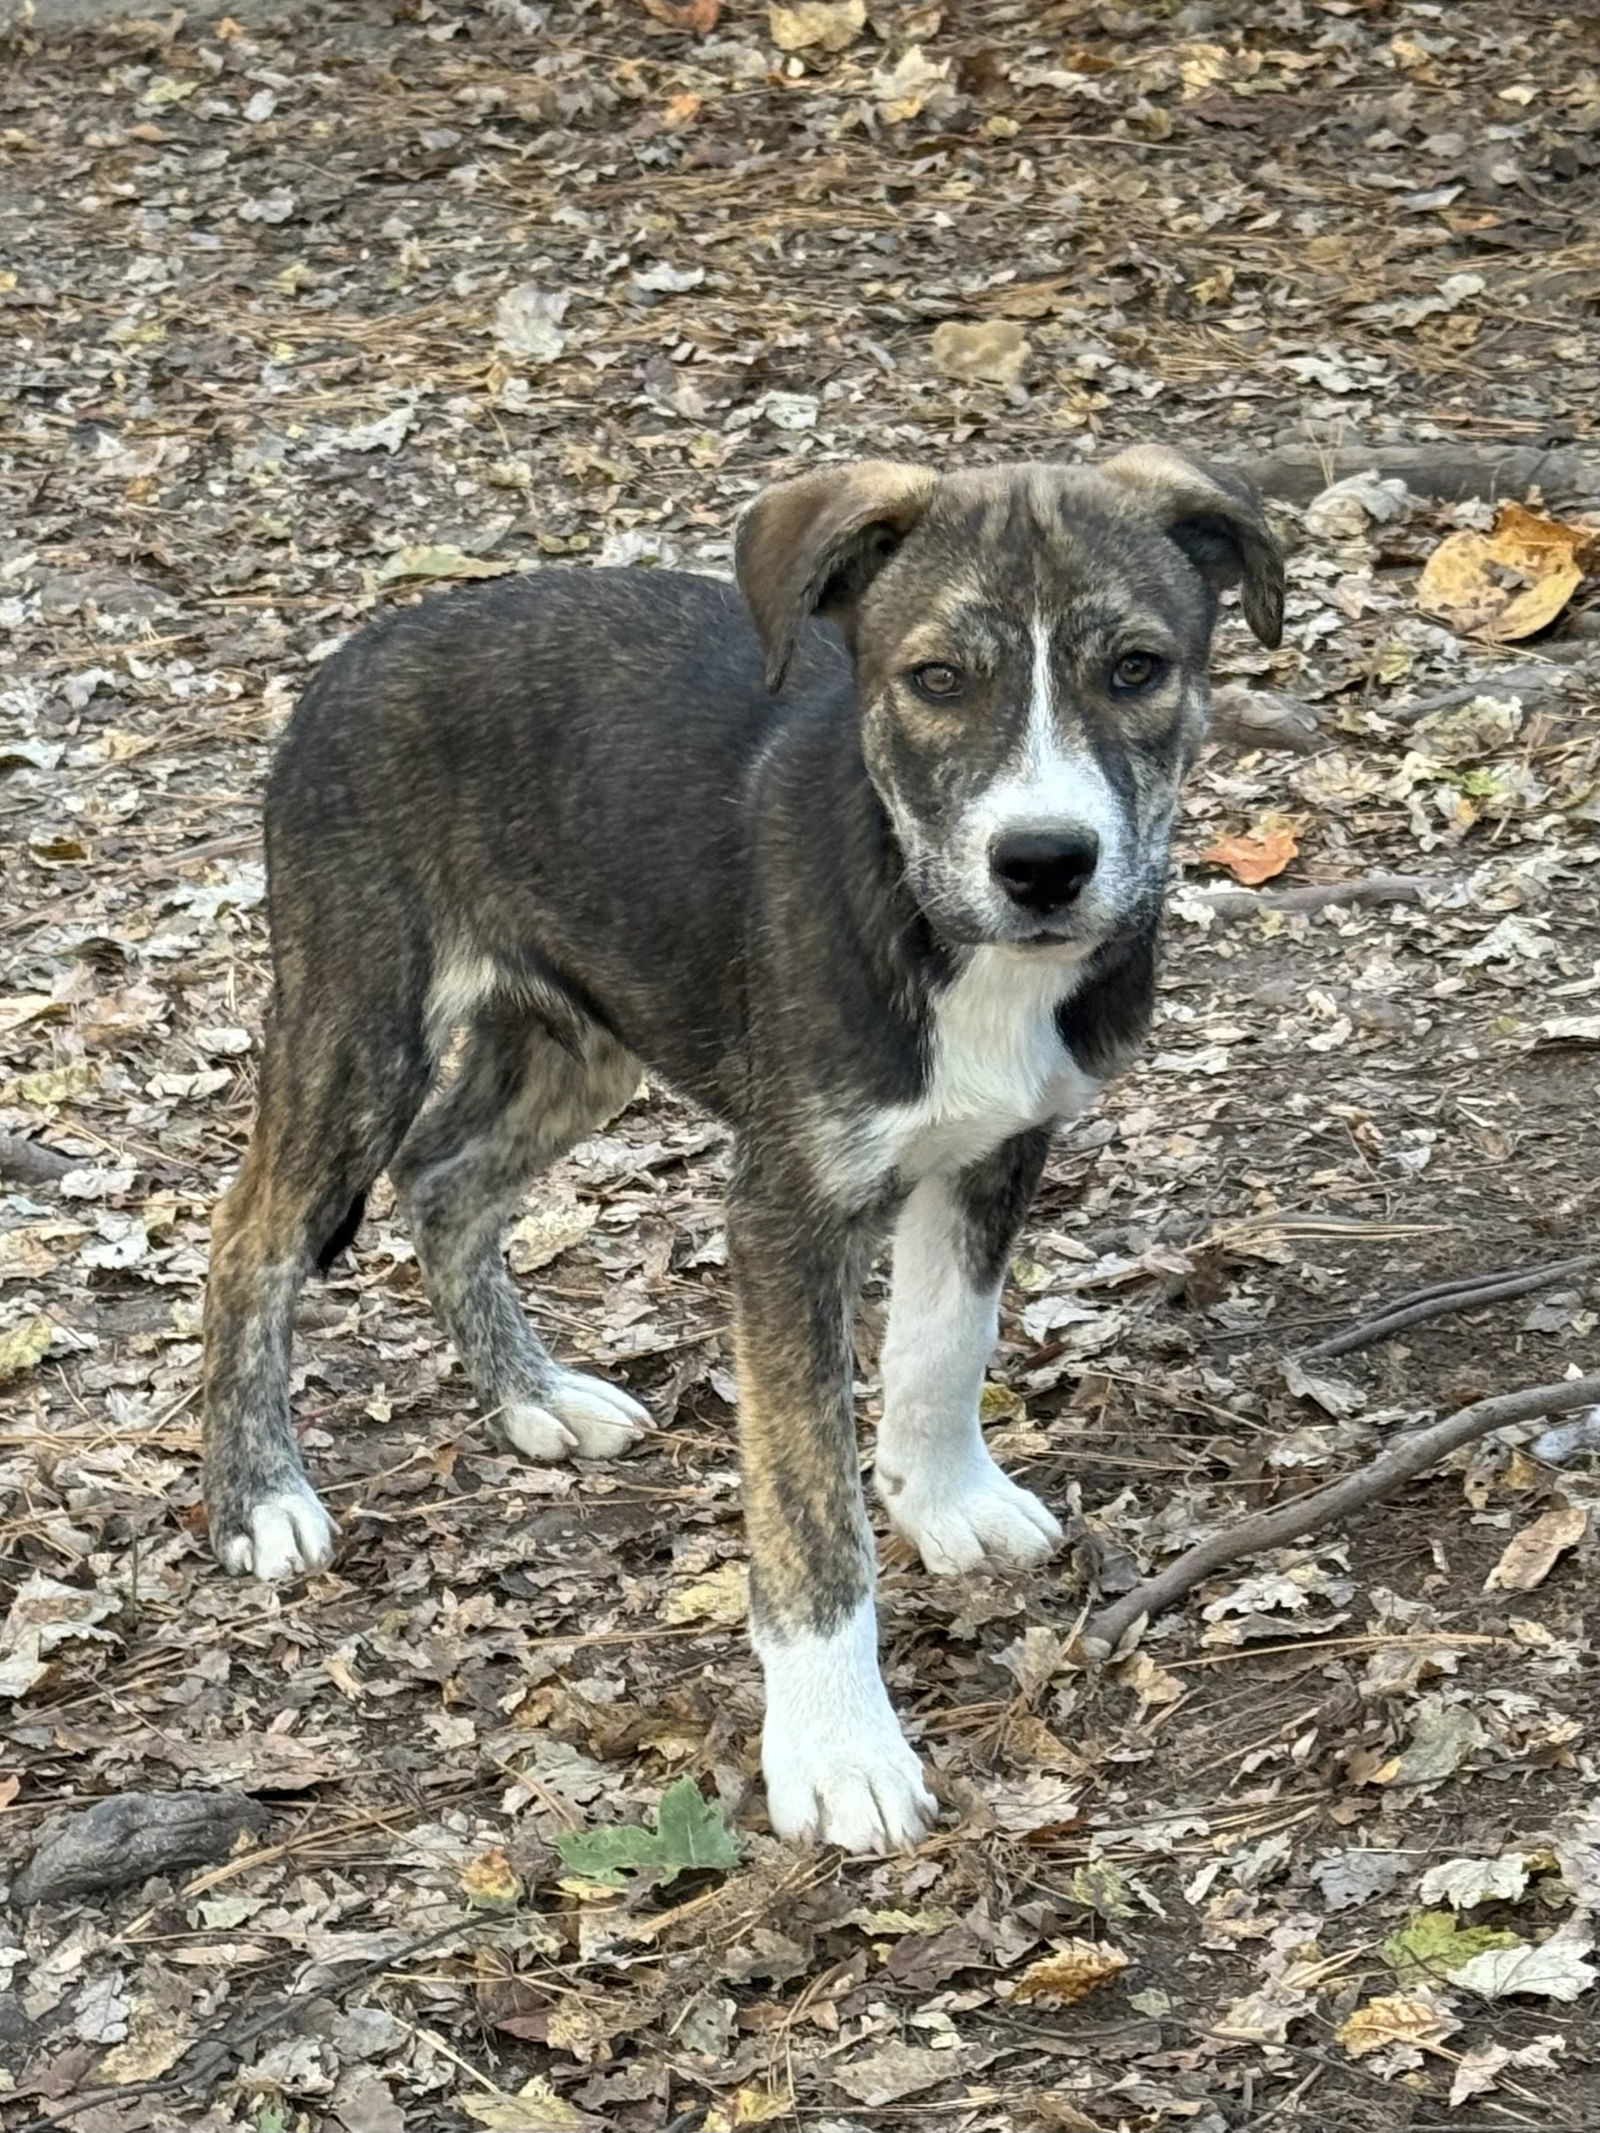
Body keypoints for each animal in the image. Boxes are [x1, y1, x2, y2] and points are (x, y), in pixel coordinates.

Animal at [200, 445, 1288, 1851]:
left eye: (1138, 669)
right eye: (936, 680)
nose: (1044, 863)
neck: (929, 912)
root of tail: (363, 646)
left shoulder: (995, 1149)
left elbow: (946, 1343)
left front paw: (942, 1500)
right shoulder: (783, 1213)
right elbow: (805, 1498)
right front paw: (837, 1750)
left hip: (581, 1037)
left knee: (443, 1182)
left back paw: (534, 1397)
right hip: (357, 1016)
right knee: (252, 1237)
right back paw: (260, 1498)